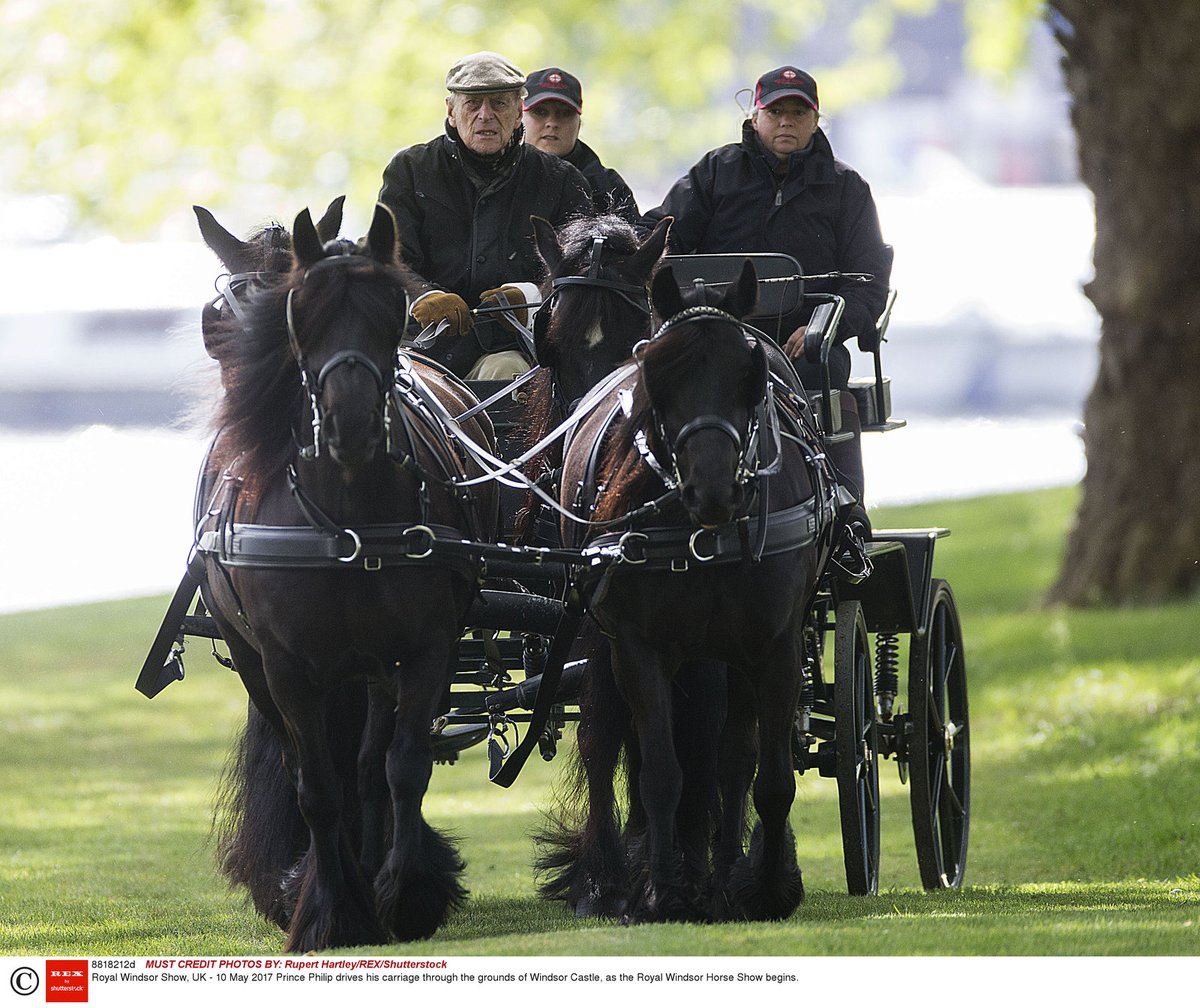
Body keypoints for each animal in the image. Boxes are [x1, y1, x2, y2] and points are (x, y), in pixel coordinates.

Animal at [194, 200, 494, 950]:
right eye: (301, 312)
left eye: (396, 308)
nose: (352, 423)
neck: (348, 511)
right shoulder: (284, 664)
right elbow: (315, 787)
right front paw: (326, 906)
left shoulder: (424, 648)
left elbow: (401, 767)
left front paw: (405, 892)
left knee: (370, 767)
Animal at [549, 258, 840, 921]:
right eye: (657, 373)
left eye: (749, 375)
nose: (712, 490)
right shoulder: (636, 647)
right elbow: (660, 771)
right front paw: (662, 890)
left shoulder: (775, 647)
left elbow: (767, 777)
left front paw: (765, 886)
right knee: (607, 742)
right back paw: (607, 879)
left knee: (731, 761)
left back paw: (727, 873)